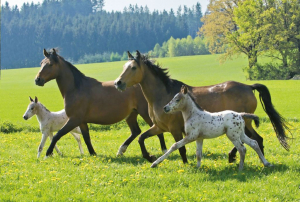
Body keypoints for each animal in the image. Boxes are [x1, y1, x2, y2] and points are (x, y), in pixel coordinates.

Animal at [35, 49, 166, 158]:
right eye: (41, 63)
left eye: (50, 64)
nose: (37, 80)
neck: (76, 88)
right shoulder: (82, 122)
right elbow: (87, 138)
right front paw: (93, 154)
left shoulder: (74, 119)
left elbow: (58, 135)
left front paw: (48, 154)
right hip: (131, 114)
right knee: (136, 131)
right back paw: (121, 150)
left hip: (144, 113)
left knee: (157, 130)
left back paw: (164, 151)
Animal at [113, 51, 290, 163]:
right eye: (123, 67)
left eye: (133, 68)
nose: (118, 83)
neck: (163, 94)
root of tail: (248, 86)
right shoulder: (159, 127)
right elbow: (141, 138)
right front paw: (149, 157)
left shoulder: (175, 129)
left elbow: (181, 148)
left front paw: (185, 165)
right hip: (244, 123)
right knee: (255, 139)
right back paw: (238, 157)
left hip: (243, 123)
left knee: (255, 139)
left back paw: (240, 158)